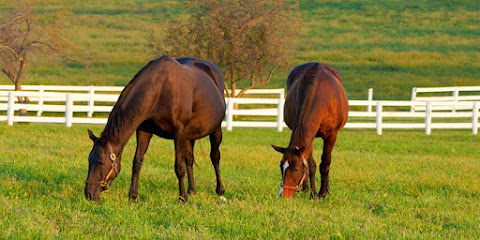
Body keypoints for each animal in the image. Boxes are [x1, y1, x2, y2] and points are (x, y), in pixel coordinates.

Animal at [85, 56, 227, 202]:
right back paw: (191, 190)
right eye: (89, 160)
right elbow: (137, 162)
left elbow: (179, 167)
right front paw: (132, 197)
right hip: (190, 136)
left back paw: (220, 192)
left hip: (216, 130)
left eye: (101, 162)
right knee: (190, 159)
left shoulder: (179, 132)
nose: (89, 194)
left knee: (215, 157)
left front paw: (182, 198)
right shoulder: (144, 131)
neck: (160, 90)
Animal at [272, 62, 346, 199]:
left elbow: (325, 163)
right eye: (281, 166)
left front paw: (322, 193)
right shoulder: (309, 138)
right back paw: (306, 189)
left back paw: (326, 189)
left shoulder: (331, 135)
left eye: (295, 169)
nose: (283, 195)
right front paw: (313, 193)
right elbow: (310, 165)